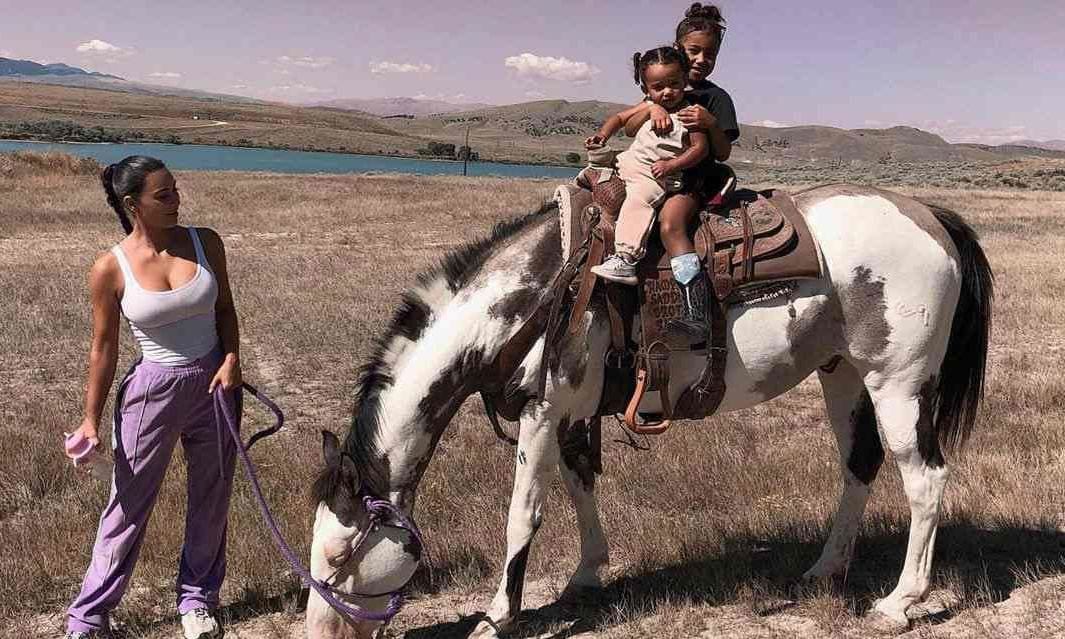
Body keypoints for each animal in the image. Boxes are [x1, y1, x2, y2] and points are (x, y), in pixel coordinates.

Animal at [304, 182, 992, 634]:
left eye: (339, 558)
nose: (318, 632)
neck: (537, 292)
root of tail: (931, 217)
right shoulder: (571, 414)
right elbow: (581, 485)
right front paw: (587, 575)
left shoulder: (541, 411)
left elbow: (523, 514)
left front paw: (499, 617)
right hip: (843, 374)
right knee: (859, 467)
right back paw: (825, 570)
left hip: (898, 384)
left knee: (924, 480)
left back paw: (900, 603)